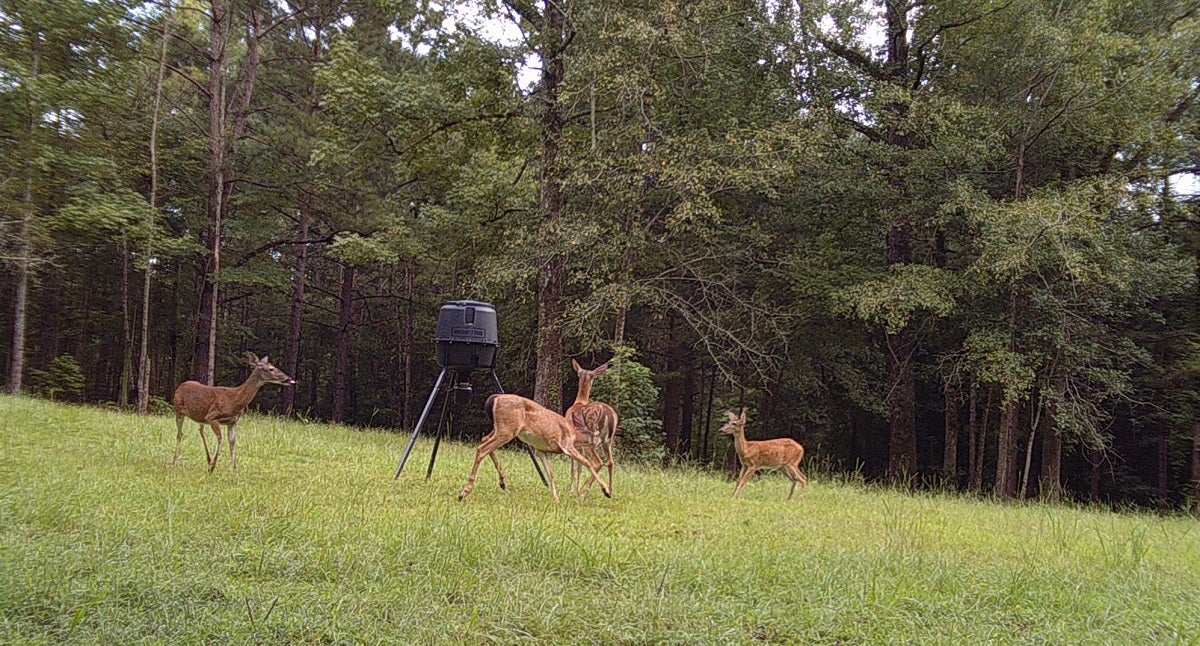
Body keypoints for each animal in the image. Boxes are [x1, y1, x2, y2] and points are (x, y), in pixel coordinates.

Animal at [456, 391, 614, 501]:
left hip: (500, 428)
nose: (603, 441)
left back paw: (502, 482)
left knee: (484, 440)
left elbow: (550, 472)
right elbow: (587, 462)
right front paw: (606, 490)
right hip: (507, 429)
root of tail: (494, 399)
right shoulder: (566, 445)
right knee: (482, 448)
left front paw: (555, 498)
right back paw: (464, 492)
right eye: (596, 434)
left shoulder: (540, 450)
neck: (574, 434)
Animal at [564, 357, 619, 492]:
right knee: (610, 462)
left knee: (598, 462)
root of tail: (609, 414)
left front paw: (572, 489)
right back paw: (610, 490)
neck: (579, 402)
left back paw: (586, 491)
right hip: (608, 440)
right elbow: (579, 466)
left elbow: (574, 465)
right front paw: (576, 488)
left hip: (590, 435)